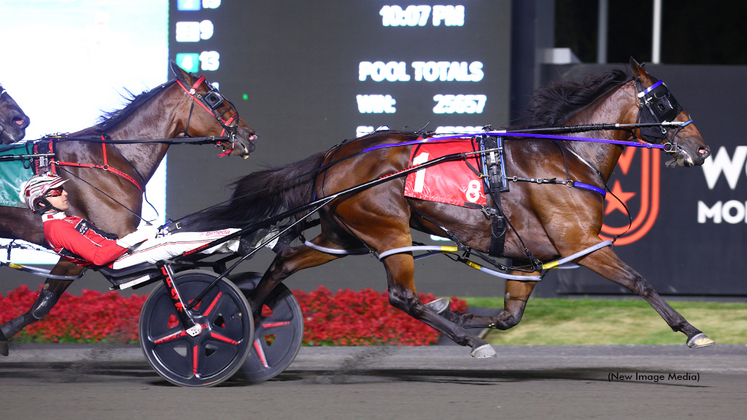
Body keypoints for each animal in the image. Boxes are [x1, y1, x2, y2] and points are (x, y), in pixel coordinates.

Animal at [187, 59, 712, 360]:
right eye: (666, 100)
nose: (701, 148)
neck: (564, 156)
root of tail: (336, 156)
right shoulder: (580, 244)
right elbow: (639, 282)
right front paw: (691, 331)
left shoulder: (528, 260)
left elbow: (510, 317)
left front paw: (461, 316)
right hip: (388, 232)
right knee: (402, 297)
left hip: (342, 235)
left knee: (286, 260)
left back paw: (246, 317)